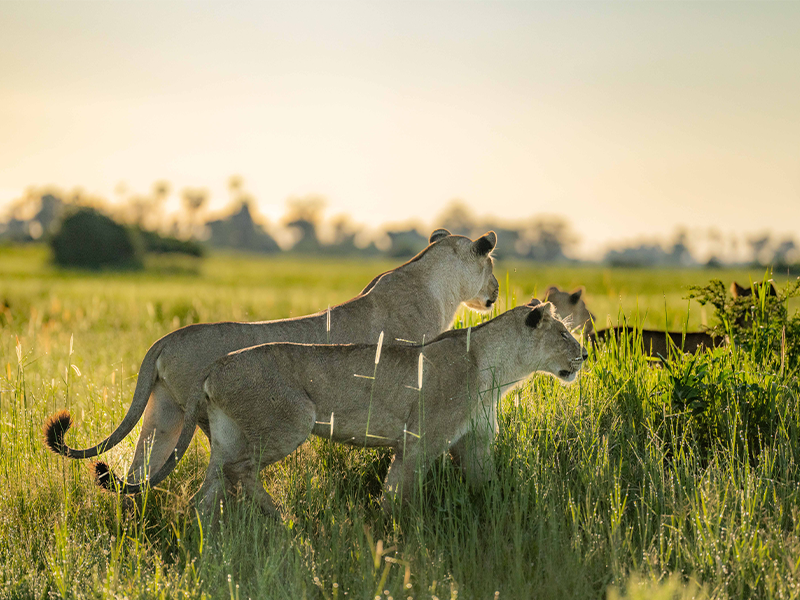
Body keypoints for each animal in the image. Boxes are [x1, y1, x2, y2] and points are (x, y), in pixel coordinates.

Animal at [43, 227, 500, 486]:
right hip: (202, 416)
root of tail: (166, 339)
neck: (435, 282)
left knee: (139, 470)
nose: (496, 292)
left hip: (164, 412)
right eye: (493, 265)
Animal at [95, 300, 588, 516]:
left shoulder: (474, 444)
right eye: (564, 333)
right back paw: (281, 518)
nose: (584, 355)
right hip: (293, 419)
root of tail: (215, 366)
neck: (496, 367)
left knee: (210, 486)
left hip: (227, 432)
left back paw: (203, 537)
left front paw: (505, 516)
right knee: (239, 472)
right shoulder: (419, 441)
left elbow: (487, 486)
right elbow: (398, 493)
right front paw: (390, 533)